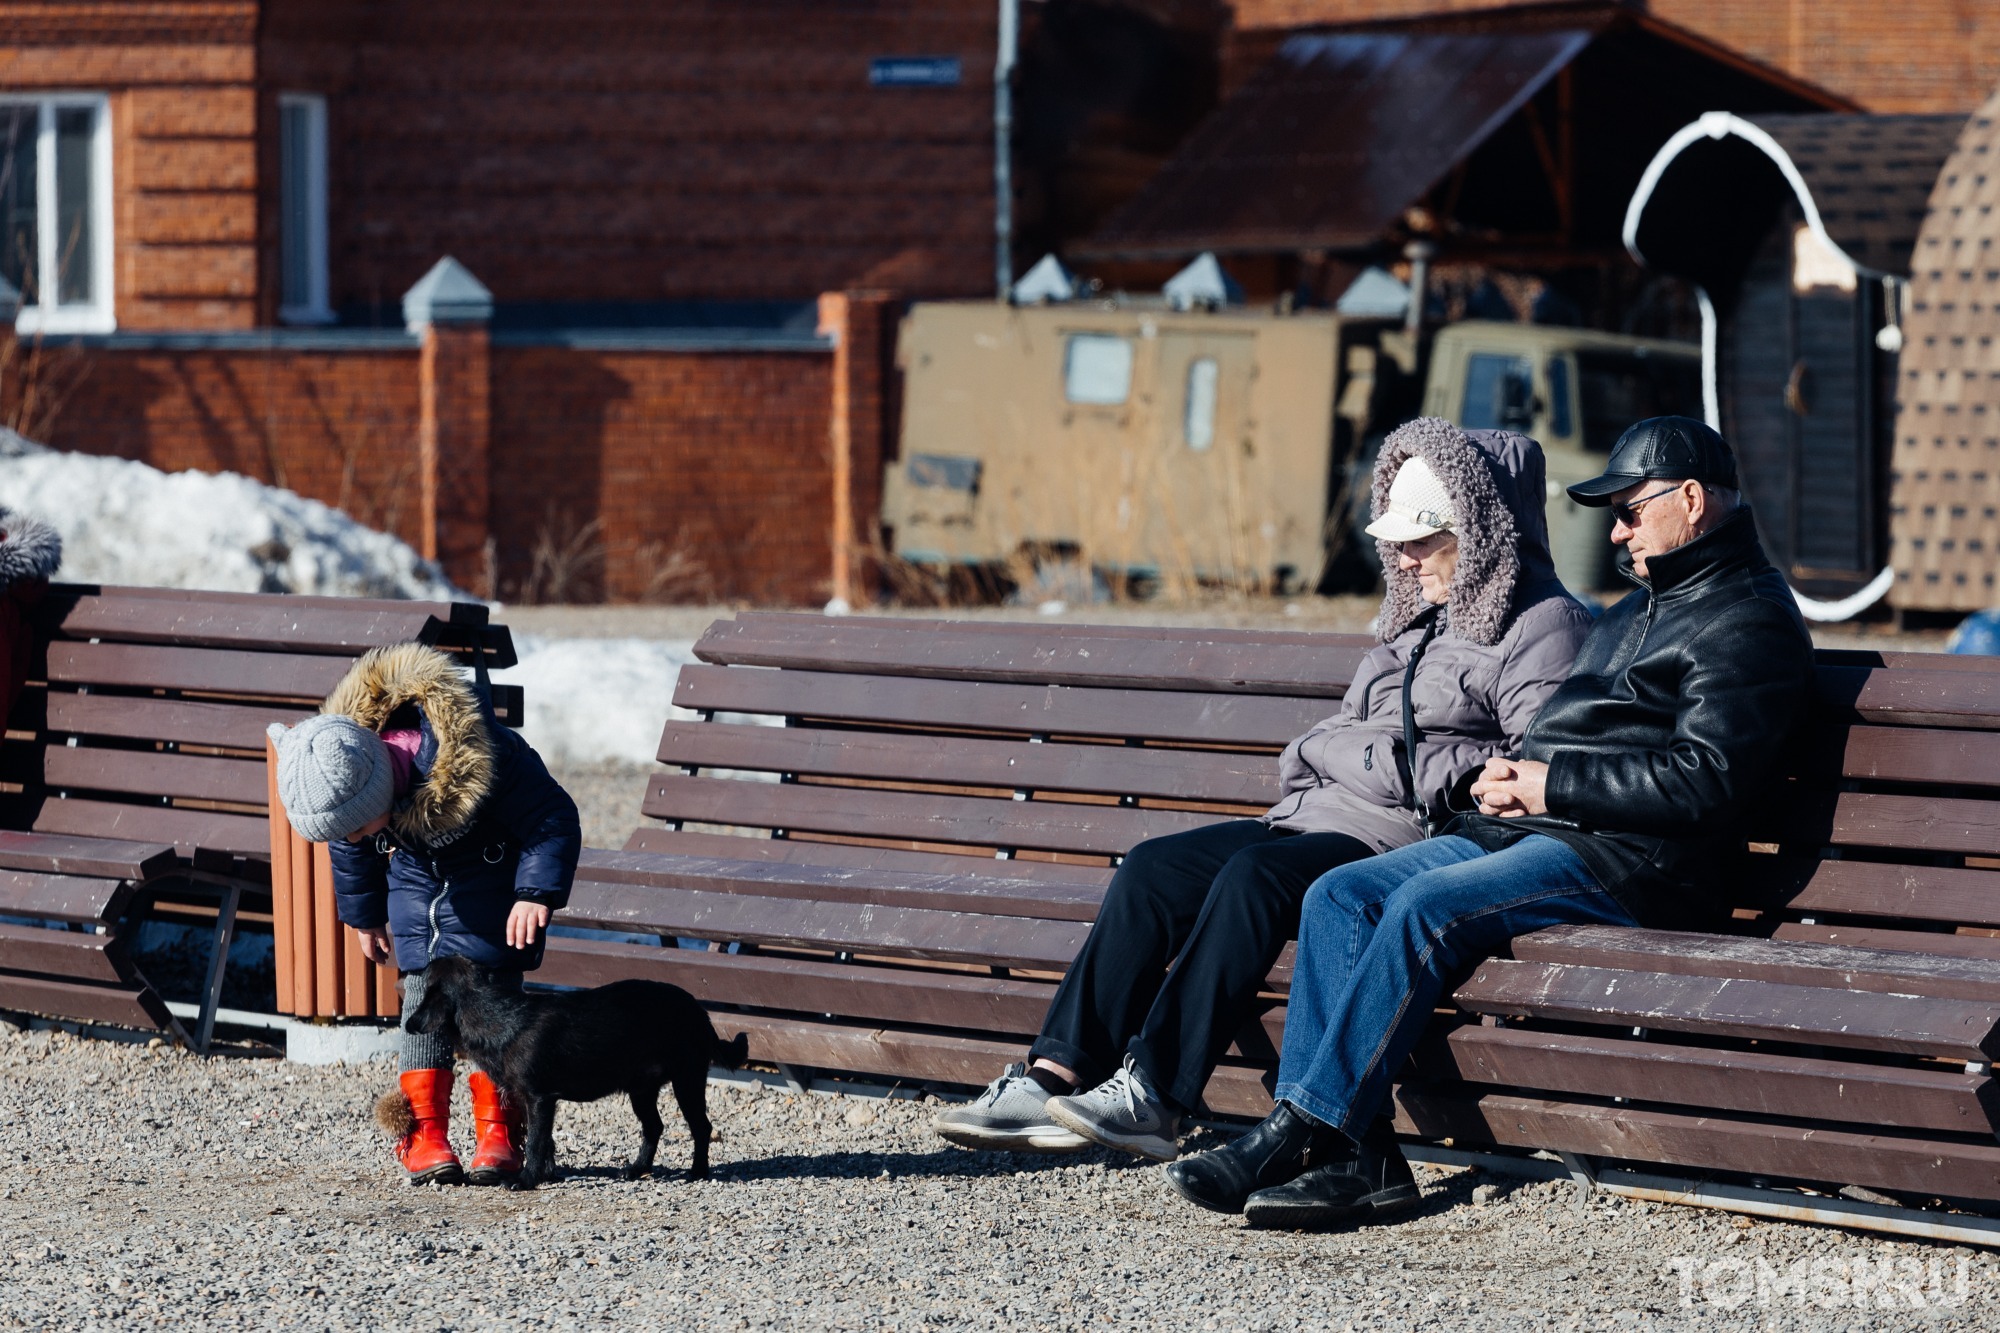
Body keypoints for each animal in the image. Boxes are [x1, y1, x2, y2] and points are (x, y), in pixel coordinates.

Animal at [406, 956, 752, 1184]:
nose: (409, 1023)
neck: (498, 1015)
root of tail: (700, 1011)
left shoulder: (540, 1098)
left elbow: (535, 1141)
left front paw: (526, 1179)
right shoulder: (531, 1100)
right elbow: (544, 1141)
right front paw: (547, 1175)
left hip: (687, 1080)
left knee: (701, 1127)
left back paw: (698, 1172)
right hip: (641, 1089)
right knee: (654, 1127)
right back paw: (637, 1169)